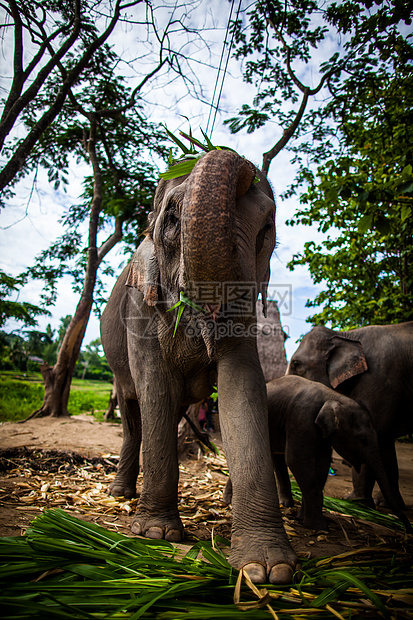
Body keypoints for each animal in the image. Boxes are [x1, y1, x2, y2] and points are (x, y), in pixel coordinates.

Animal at [101, 148, 298, 584]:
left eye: (267, 229)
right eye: (173, 220)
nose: (242, 160)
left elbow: (242, 387)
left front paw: (267, 570)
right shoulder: (140, 307)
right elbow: (156, 388)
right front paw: (156, 534)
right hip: (116, 368)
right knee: (134, 414)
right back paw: (120, 494)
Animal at [222, 376, 408, 532]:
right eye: (362, 439)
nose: (408, 529)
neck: (334, 396)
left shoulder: (322, 435)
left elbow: (322, 464)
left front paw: (302, 518)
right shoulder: (302, 418)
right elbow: (296, 460)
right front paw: (318, 527)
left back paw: (286, 504)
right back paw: (229, 501)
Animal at [286, 324, 412, 508]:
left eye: (297, 364)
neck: (347, 335)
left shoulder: (381, 379)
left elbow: (374, 435)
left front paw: (355, 502)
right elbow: (383, 442)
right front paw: (384, 504)